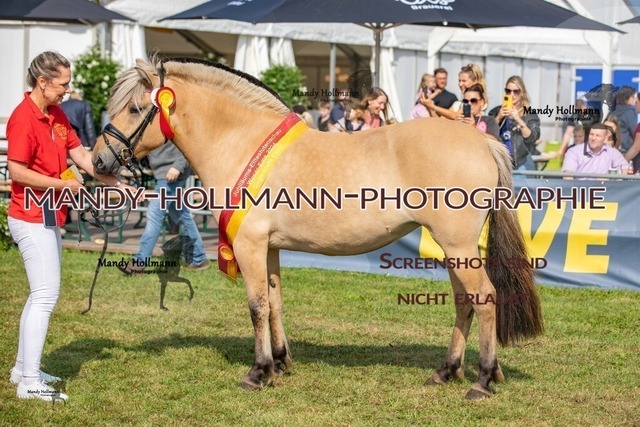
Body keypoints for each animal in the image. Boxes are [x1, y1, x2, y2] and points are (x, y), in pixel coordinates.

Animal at [92, 57, 543, 399]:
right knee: (464, 301)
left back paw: (482, 380)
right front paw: (280, 363)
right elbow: (275, 301)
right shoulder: (270, 247)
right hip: (453, 249)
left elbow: (256, 306)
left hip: (458, 246)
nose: (98, 160)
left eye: (134, 109)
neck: (240, 142)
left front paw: (257, 372)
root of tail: (483, 142)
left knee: (485, 298)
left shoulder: (250, 245)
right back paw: (446, 371)